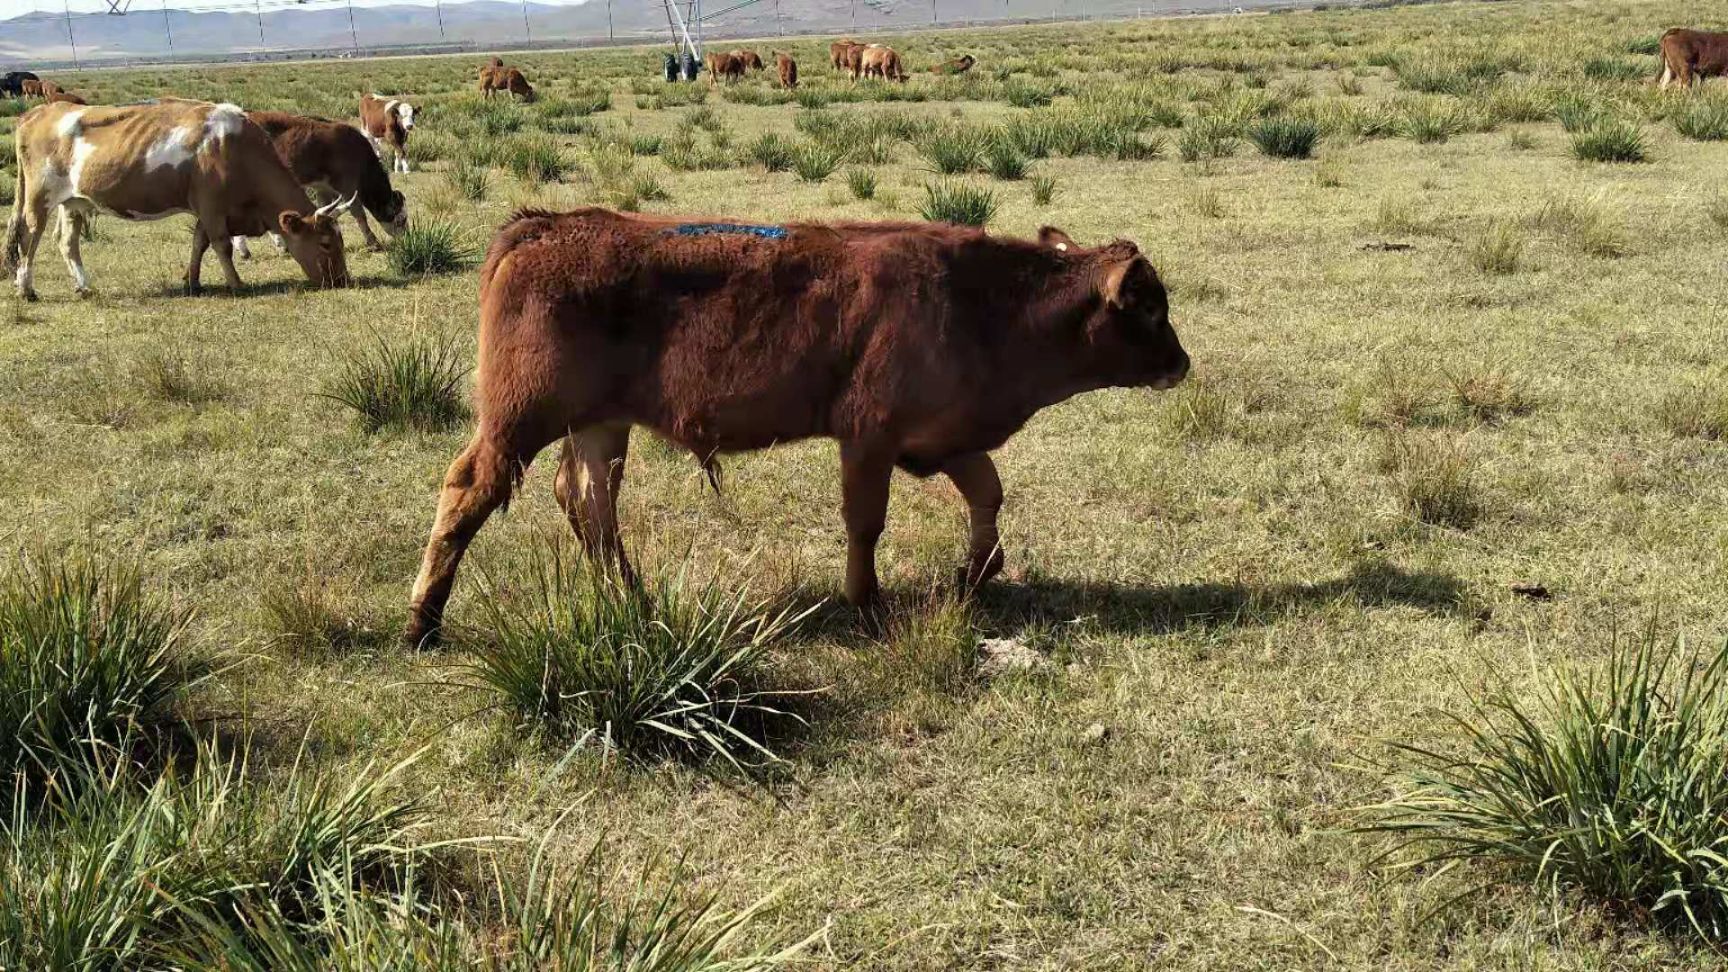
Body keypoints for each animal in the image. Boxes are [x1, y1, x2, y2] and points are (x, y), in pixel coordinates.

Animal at [3, 99, 354, 299]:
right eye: (325, 243)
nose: (342, 280)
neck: (234, 147)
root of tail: (38, 112)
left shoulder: (203, 208)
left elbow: (199, 243)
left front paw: (192, 282)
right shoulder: (212, 205)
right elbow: (220, 244)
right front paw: (236, 284)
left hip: (74, 202)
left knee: (66, 241)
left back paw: (84, 286)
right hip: (39, 198)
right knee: (29, 237)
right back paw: (26, 289)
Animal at [229, 109, 407, 257]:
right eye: (402, 219)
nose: (406, 238)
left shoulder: (323, 188)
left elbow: (327, 209)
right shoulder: (347, 185)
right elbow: (358, 213)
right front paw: (373, 243)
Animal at [404, 212, 1188, 650]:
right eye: (1148, 305)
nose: (1181, 362)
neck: (983, 304)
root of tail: (546, 224)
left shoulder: (946, 438)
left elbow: (987, 495)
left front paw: (976, 572)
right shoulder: (869, 437)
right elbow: (865, 522)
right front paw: (865, 602)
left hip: (598, 427)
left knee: (589, 505)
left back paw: (632, 600)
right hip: (516, 422)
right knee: (467, 491)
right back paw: (422, 624)